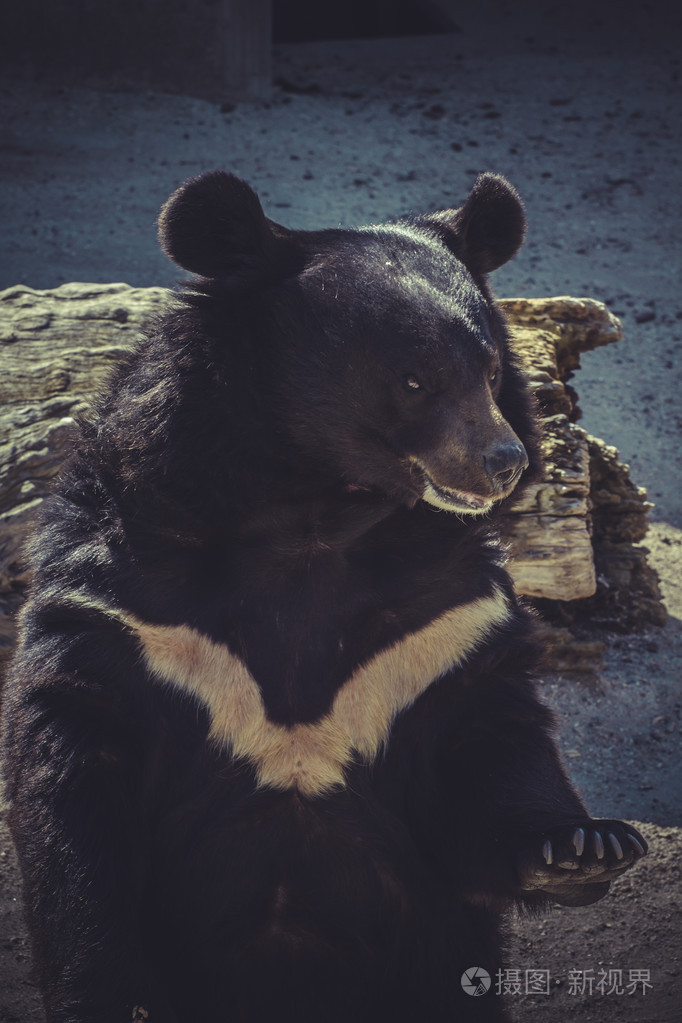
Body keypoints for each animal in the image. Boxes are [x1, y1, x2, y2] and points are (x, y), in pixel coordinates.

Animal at [1, 171, 646, 1023]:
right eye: (414, 379)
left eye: (486, 371)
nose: (503, 461)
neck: (316, 511)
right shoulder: (126, 613)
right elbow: (75, 789)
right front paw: (108, 990)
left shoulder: (444, 628)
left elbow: (491, 741)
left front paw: (589, 847)